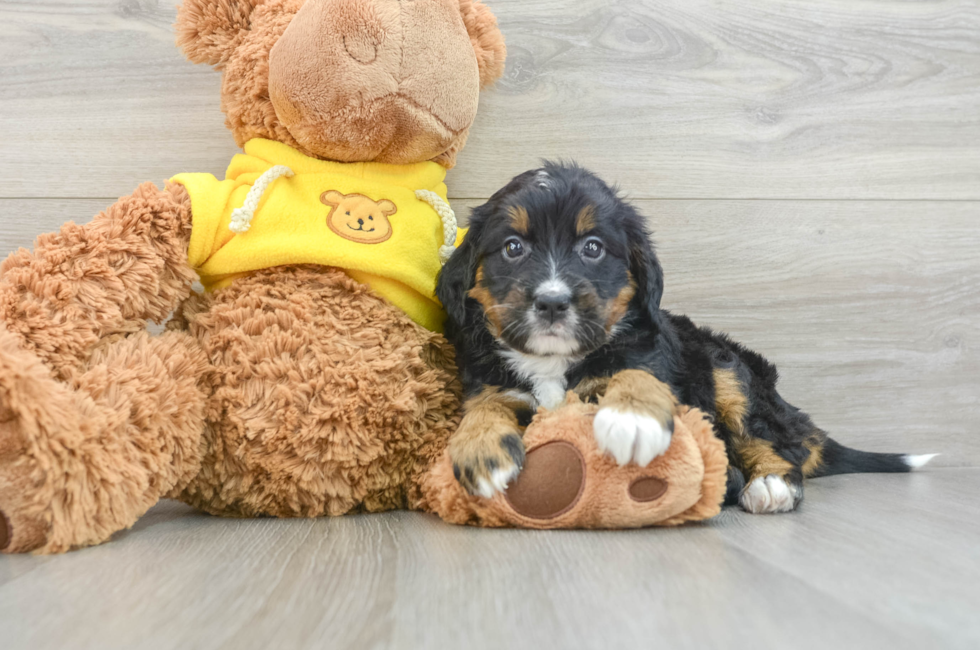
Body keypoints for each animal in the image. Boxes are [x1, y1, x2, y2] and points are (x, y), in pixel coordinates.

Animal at [436, 162, 936, 512]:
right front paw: (480, 449)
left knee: (775, 443)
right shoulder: (490, 379)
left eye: (592, 248)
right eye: (513, 248)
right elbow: (485, 405)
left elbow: (637, 372)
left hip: (729, 369)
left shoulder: (652, 353)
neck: (553, 363)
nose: (553, 303)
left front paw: (633, 418)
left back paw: (771, 485)